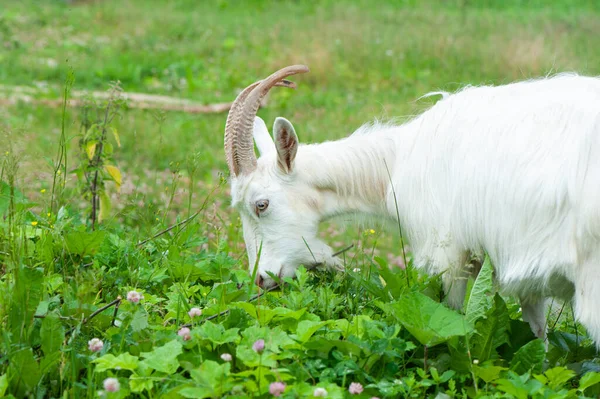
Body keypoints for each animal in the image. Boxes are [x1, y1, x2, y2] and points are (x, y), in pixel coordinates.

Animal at [223, 65, 600, 346]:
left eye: (261, 204)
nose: (261, 279)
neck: (397, 162)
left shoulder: (447, 252)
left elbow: (450, 315)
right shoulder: (524, 268)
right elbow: (538, 333)